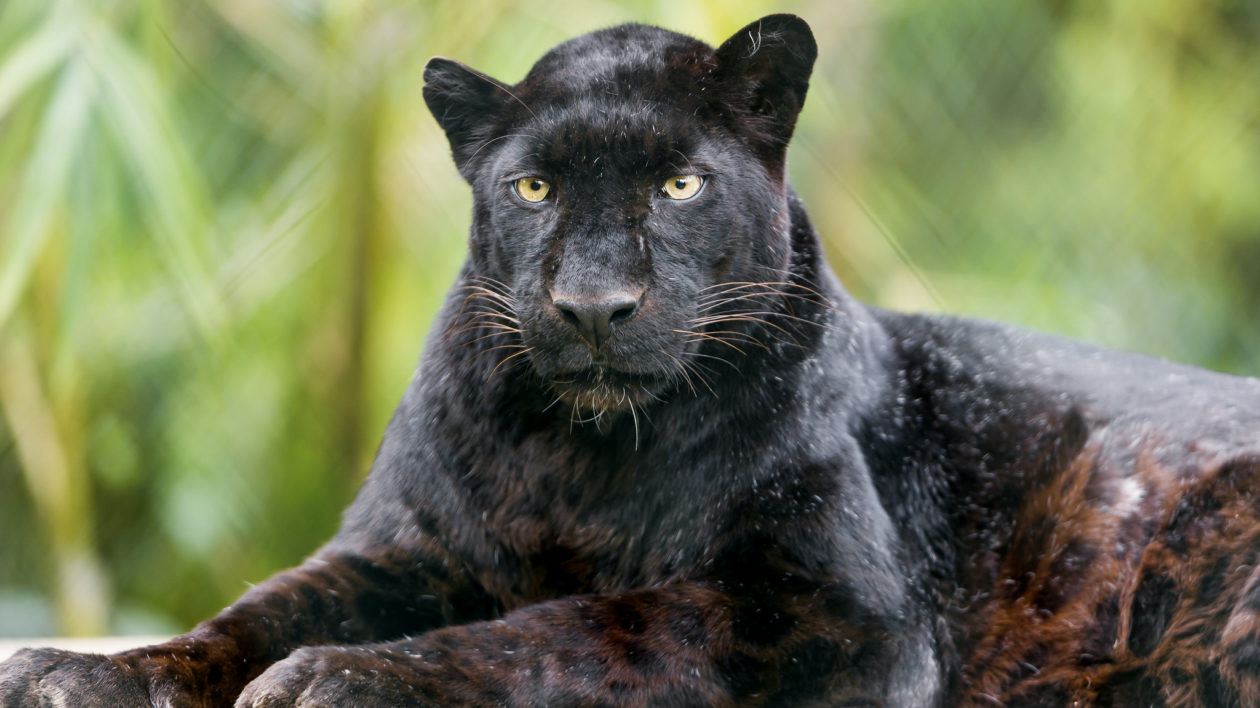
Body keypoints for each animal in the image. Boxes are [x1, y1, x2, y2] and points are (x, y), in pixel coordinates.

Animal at [2, 13, 1260, 700]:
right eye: (533, 187)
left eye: (680, 184)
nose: (593, 305)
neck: (582, 456)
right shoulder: (403, 547)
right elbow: (252, 613)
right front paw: (89, 673)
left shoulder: (835, 608)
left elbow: (582, 627)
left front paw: (352, 678)